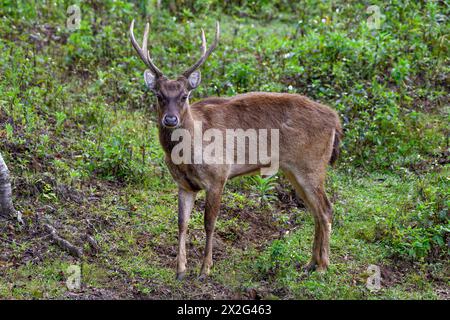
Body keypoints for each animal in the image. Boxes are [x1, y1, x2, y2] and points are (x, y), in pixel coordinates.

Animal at [128, 20, 342, 280]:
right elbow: (181, 223)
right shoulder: (184, 184)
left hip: (311, 165)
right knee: (315, 211)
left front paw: (205, 270)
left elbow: (209, 223)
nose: (170, 119)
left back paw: (323, 267)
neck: (188, 153)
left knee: (326, 209)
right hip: (294, 170)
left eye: (184, 95)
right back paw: (310, 264)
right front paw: (180, 270)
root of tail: (335, 120)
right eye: (159, 95)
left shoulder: (218, 176)